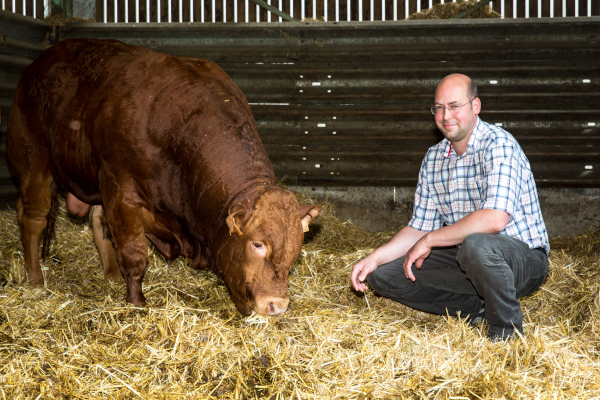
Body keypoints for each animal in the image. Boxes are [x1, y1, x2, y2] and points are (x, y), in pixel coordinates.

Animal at [7, 39, 318, 316]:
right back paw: (34, 278)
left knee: (96, 222)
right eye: (257, 244)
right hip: (33, 159)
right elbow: (134, 254)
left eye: (295, 250)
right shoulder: (121, 192)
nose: (276, 305)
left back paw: (111, 276)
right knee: (33, 217)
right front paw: (136, 302)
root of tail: (39, 63)